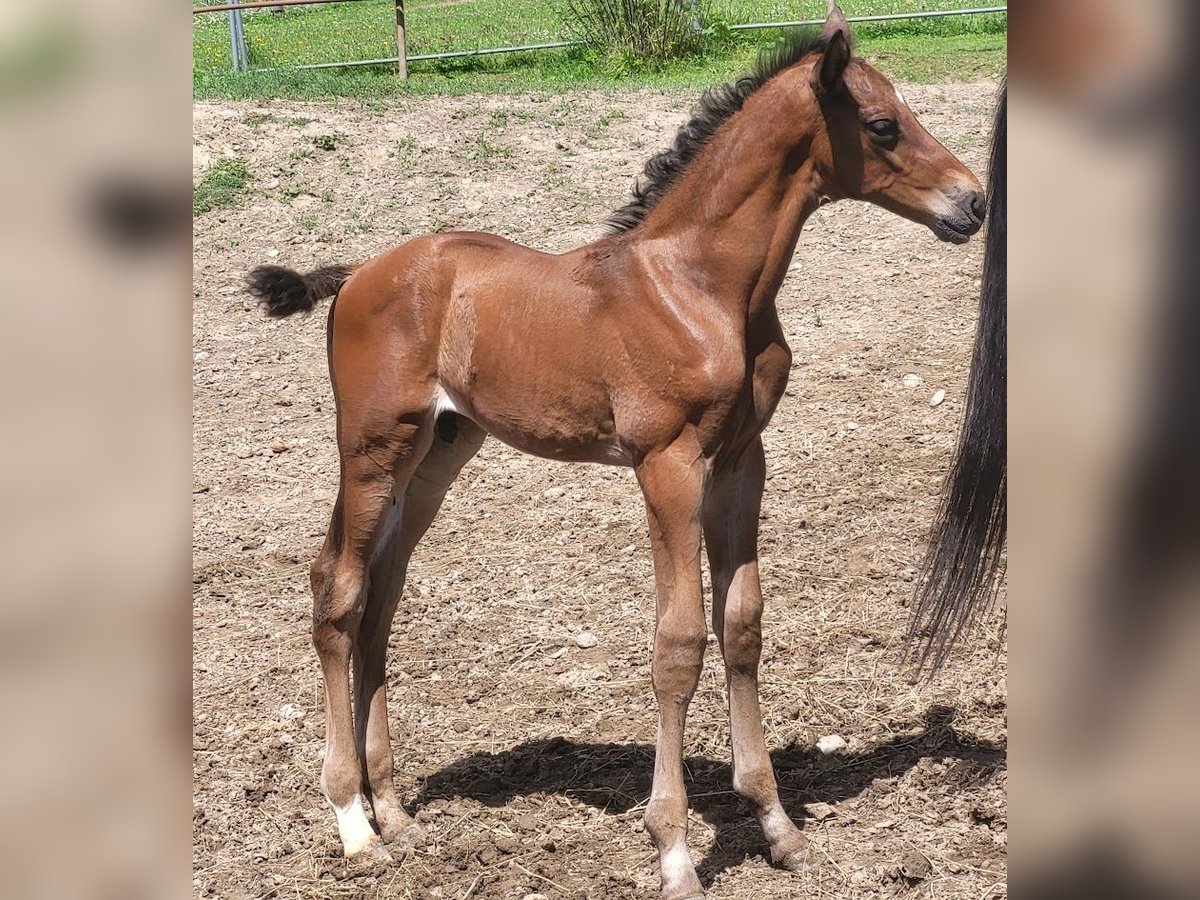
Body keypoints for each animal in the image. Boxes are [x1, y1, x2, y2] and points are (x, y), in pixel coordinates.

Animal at [246, 8, 984, 900]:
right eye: (881, 125)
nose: (974, 201)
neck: (700, 286)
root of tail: (356, 273)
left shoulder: (743, 461)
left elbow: (741, 625)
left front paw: (778, 828)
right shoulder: (667, 463)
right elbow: (679, 641)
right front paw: (673, 852)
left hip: (437, 452)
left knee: (381, 599)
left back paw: (393, 808)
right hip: (372, 445)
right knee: (338, 590)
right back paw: (354, 824)